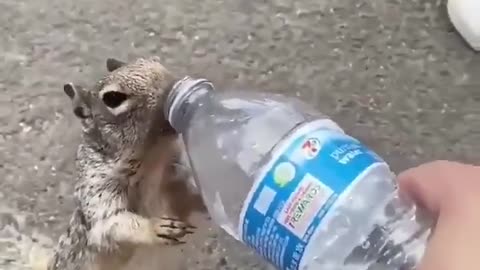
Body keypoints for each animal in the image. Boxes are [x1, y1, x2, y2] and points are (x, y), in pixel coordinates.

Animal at [45, 57, 202, 270]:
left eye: (154, 61)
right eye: (113, 98)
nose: (174, 84)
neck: (154, 158)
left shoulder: (176, 174)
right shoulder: (99, 191)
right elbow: (113, 224)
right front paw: (156, 228)